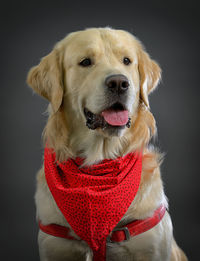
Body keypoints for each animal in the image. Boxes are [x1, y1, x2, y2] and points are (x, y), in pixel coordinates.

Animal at [27, 27, 188, 258]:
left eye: (127, 61)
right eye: (85, 62)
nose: (119, 83)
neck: (100, 163)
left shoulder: (151, 245)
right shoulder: (56, 245)